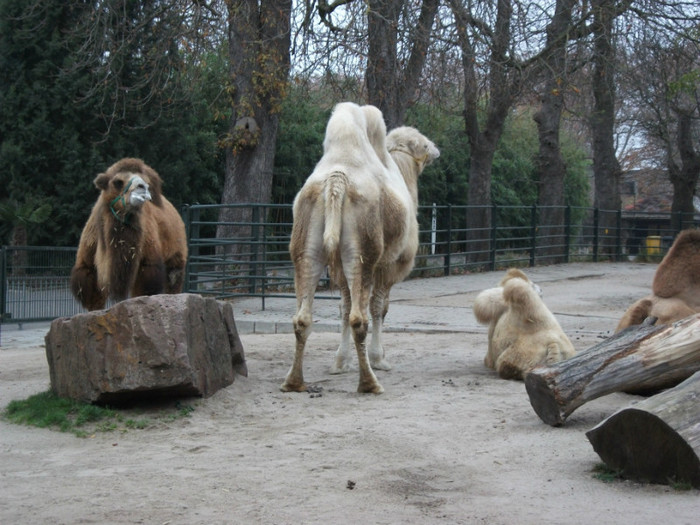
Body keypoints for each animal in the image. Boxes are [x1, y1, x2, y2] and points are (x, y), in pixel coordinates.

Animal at [278, 101, 438, 392]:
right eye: (422, 143)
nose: (436, 149)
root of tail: (336, 179)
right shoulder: (391, 266)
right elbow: (379, 308)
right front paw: (379, 358)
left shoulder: (339, 270)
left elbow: (342, 307)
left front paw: (340, 362)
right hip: (362, 250)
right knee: (358, 318)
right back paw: (369, 383)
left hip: (306, 243)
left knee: (303, 317)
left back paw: (293, 382)